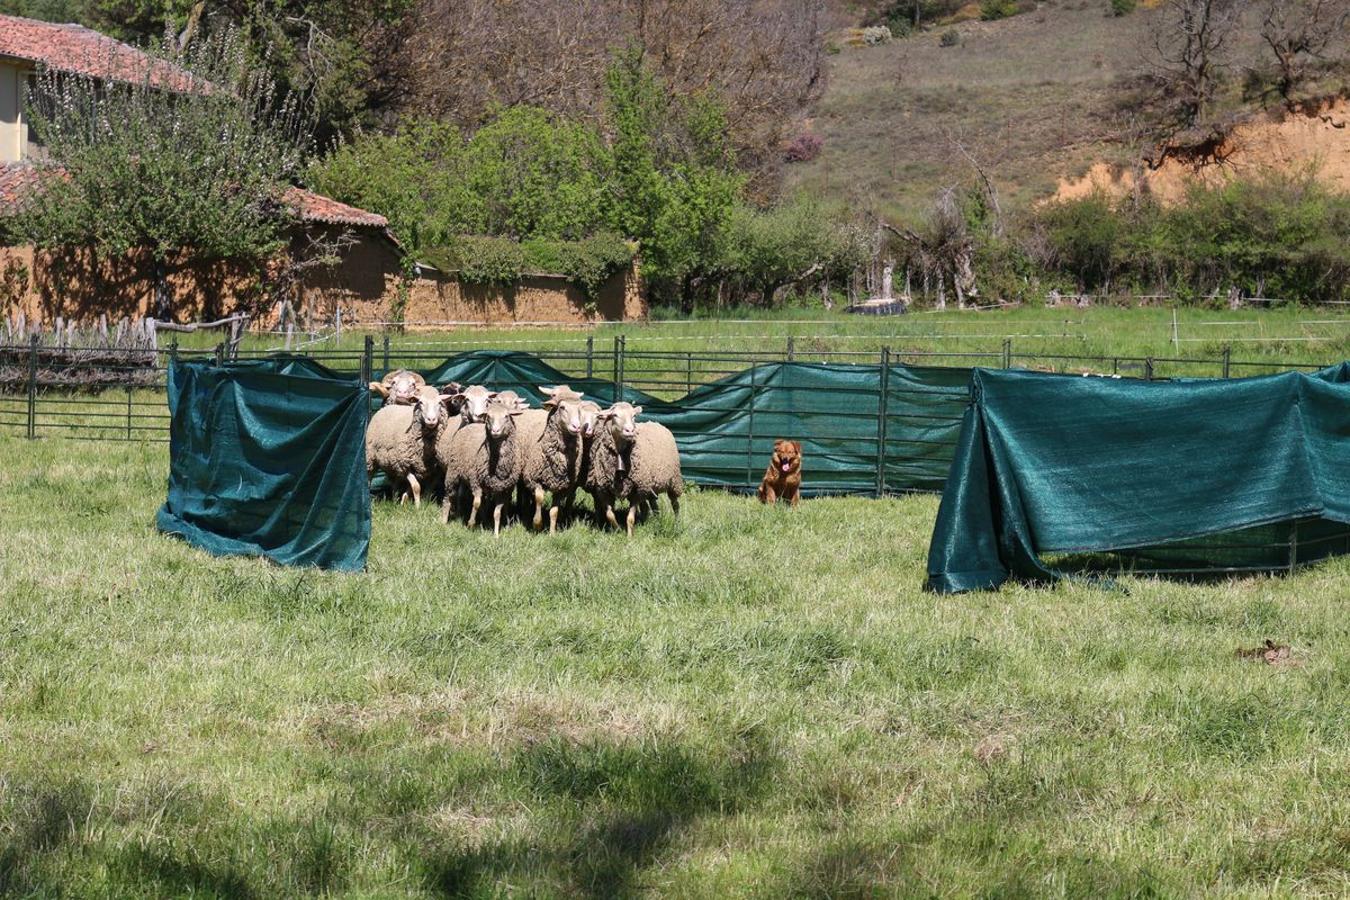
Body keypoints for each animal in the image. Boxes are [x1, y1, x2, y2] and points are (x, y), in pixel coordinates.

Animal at [445, 402, 523, 534]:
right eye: (488, 417)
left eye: (506, 416)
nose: (495, 431)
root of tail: (471, 424)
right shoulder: (475, 480)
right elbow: (476, 503)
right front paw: (471, 524)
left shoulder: (502, 488)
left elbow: (497, 512)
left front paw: (496, 533)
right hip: (453, 471)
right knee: (448, 496)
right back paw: (444, 519)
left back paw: (484, 521)